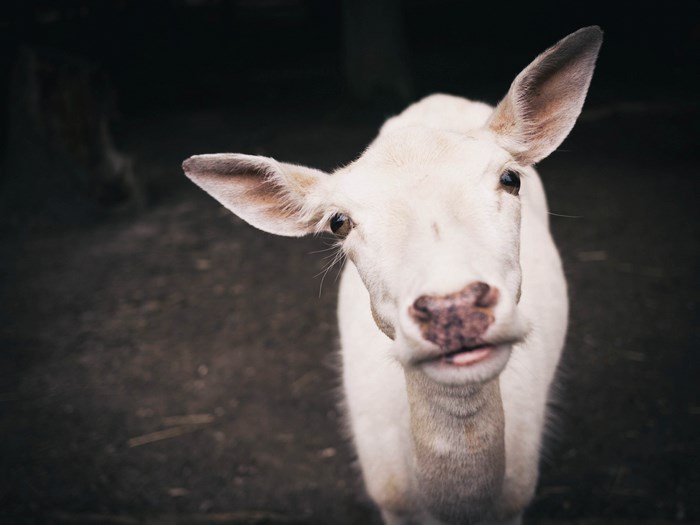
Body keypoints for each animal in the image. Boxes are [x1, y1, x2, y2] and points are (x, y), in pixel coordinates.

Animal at [183, 26, 603, 525]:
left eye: (510, 178)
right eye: (339, 222)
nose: (453, 308)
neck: (453, 509)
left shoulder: (516, 501)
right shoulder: (388, 500)